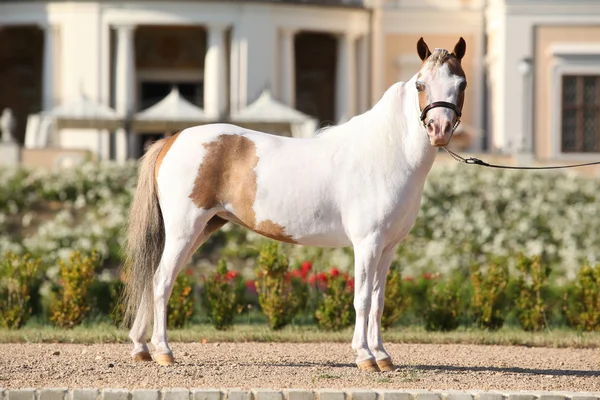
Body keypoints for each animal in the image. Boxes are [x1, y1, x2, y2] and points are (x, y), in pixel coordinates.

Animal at [123, 37, 468, 372]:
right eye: (420, 84)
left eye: (461, 83)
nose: (439, 129)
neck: (386, 152)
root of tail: (171, 139)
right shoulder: (367, 243)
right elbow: (362, 300)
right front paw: (365, 356)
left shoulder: (388, 247)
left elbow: (378, 300)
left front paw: (383, 356)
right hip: (184, 230)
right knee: (161, 281)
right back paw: (163, 351)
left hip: (202, 229)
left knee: (155, 278)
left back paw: (141, 348)